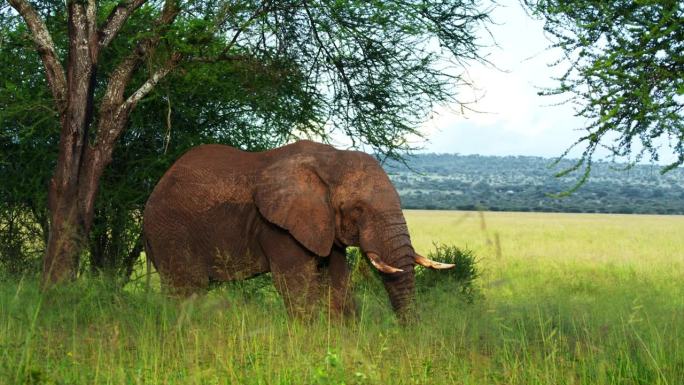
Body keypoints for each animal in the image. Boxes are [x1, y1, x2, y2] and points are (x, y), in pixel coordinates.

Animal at [143, 139, 454, 318]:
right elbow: (298, 286)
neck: (330, 159)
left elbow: (338, 284)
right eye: (358, 209)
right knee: (187, 289)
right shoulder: (278, 226)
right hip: (171, 232)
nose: (409, 335)